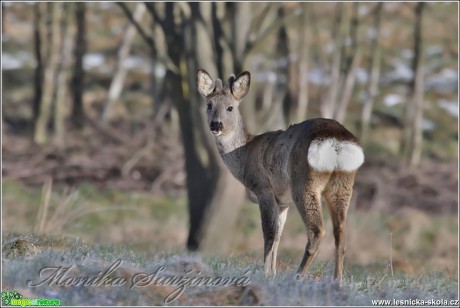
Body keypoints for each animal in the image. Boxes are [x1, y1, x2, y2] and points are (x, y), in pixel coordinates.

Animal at [196, 68, 364, 286]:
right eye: (209, 105)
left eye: (230, 107)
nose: (216, 125)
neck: (245, 153)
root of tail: (337, 141)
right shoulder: (283, 202)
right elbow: (277, 236)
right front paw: (273, 273)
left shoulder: (264, 189)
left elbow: (269, 233)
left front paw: (266, 274)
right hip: (343, 185)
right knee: (341, 233)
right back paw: (337, 282)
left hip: (304, 184)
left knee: (317, 230)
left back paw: (298, 277)